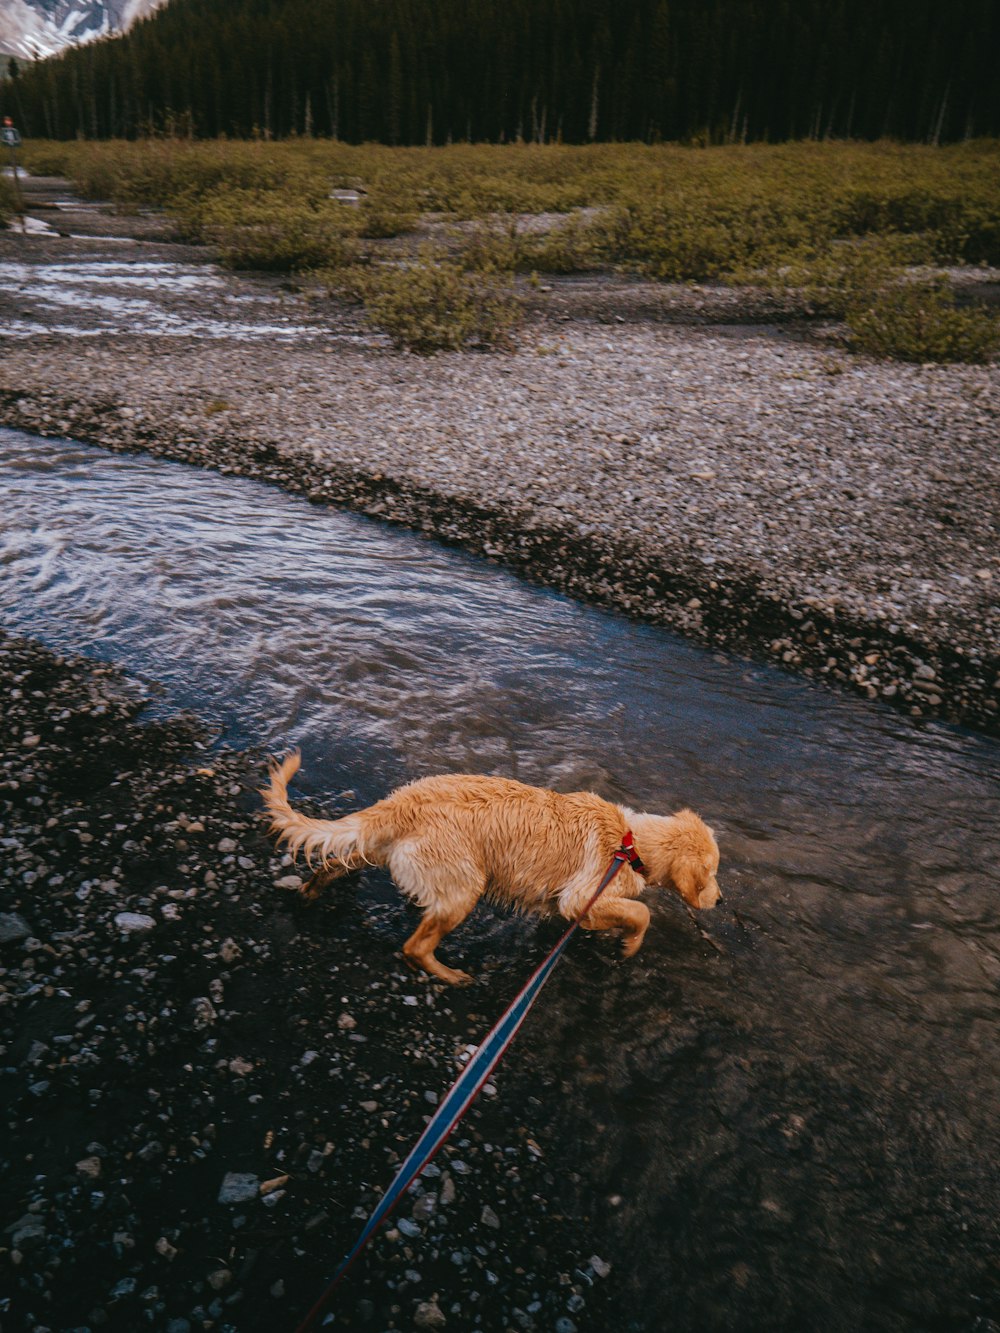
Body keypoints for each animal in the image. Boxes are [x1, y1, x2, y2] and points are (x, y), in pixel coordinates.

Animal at [264, 757, 720, 986]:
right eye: (712, 872)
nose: (719, 899)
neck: (631, 841)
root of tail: (398, 805)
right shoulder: (582, 897)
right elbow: (640, 912)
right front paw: (629, 944)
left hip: (376, 849)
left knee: (333, 862)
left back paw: (311, 890)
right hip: (464, 885)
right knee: (414, 947)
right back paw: (451, 976)